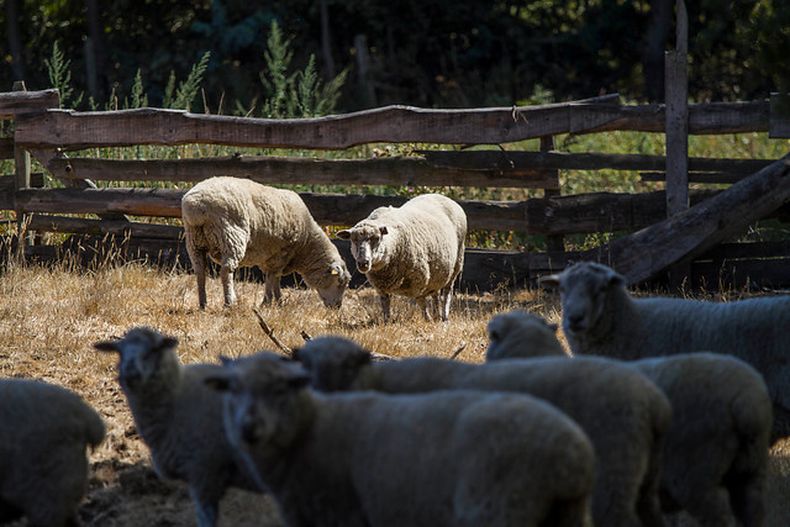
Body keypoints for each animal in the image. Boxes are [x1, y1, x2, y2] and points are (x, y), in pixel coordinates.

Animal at [181, 176, 351, 309]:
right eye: (340, 282)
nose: (337, 307)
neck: (306, 244)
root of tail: (196, 205)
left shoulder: (273, 258)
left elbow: (274, 278)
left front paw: (278, 301)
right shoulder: (281, 253)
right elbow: (272, 277)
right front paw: (268, 302)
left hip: (194, 241)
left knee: (200, 271)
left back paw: (203, 304)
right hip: (231, 237)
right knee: (226, 271)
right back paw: (229, 302)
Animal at [336, 193, 466, 321]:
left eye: (377, 238)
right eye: (353, 240)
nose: (363, 263)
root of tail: (443, 196)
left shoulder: (419, 281)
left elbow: (422, 302)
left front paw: (427, 319)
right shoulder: (381, 287)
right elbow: (385, 305)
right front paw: (387, 322)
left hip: (456, 264)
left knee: (447, 293)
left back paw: (444, 317)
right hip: (438, 272)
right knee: (436, 293)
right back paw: (436, 315)